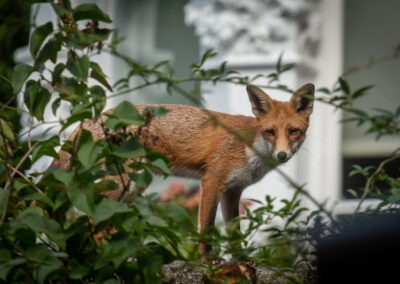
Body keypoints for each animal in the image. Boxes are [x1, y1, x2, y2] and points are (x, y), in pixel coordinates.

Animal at [54, 83, 316, 262]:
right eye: (270, 132)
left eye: (293, 131)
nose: (282, 155)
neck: (249, 147)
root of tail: (91, 119)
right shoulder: (211, 181)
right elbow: (206, 230)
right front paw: (209, 262)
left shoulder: (232, 191)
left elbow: (234, 236)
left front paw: (241, 262)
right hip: (120, 185)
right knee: (94, 224)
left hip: (132, 188)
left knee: (110, 228)